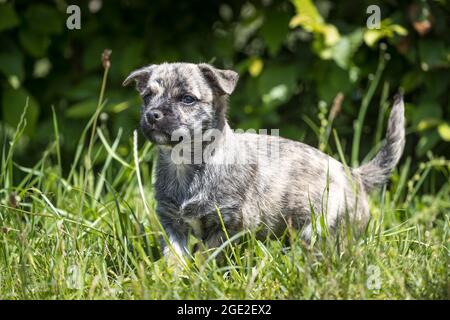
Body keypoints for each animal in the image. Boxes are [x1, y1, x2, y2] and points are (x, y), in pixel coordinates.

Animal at [122, 62, 404, 260]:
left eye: (187, 99)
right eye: (147, 96)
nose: (152, 114)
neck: (185, 163)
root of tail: (353, 175)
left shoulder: (229, 224)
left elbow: (207, 256)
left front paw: (200, 278)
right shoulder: (171, 224)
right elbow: (174, 257)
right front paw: (174, 280)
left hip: (321, 228)